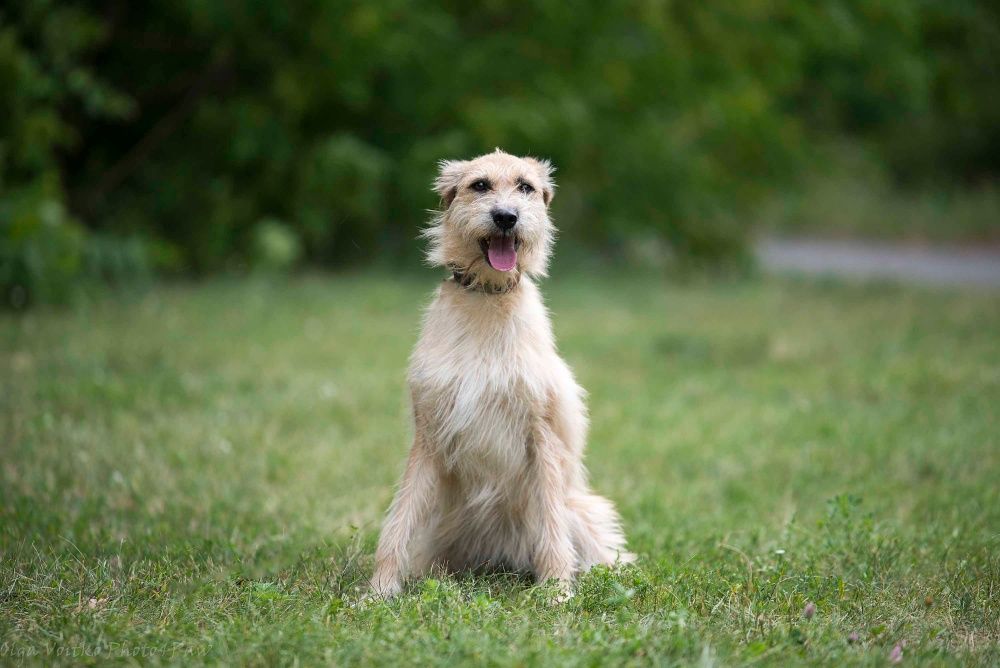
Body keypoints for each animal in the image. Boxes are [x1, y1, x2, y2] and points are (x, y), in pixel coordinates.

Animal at [368, 149, 632, 596]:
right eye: (480, 185)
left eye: (525, 187)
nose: (506, 216)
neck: (488, 299)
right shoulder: (429, 434)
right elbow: (398, 520)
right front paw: (379, 590)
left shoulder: (541, 434)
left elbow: (551, 520)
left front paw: (557, 590)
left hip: (585, 510)